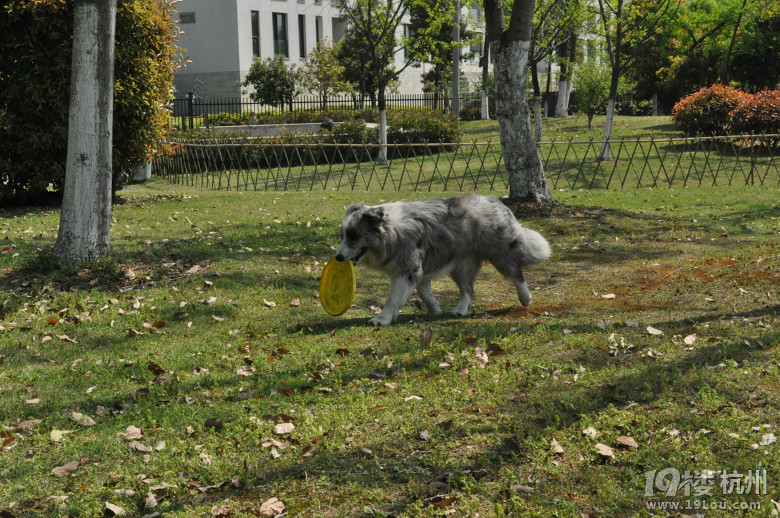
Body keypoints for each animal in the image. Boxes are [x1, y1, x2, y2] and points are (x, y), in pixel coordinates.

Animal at [334, 193, 548, 328]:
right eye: (343, 236)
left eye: (354, 236)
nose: (338, 257)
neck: (391, 230)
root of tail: (498, 203)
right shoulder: (418, 270)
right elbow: (422, 291)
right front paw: (435, 307)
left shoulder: (408, 270)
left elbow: (393, 298)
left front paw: (382, 318)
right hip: (462, 266)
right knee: (467, 289)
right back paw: (461, 310)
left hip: (500, 253)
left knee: (516, 273)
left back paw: (525, 298)